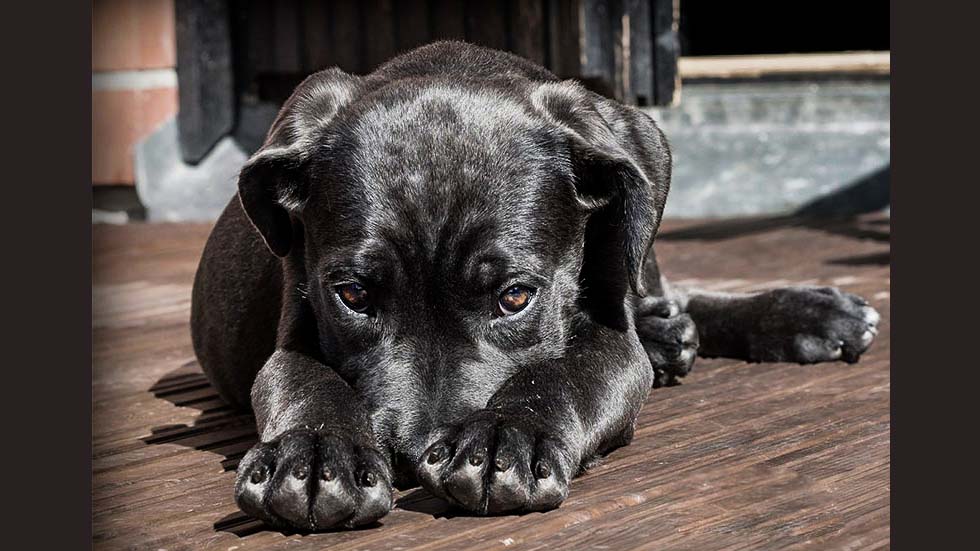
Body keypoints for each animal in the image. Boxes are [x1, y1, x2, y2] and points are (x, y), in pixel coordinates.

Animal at [191, 41, 880, 532]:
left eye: (516, 297)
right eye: (353, 296)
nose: (413, 457)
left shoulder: (611, 340)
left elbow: (563, 373)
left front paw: (506, 436)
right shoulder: (296, 326)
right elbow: (305, 380)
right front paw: (313, 454)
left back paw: (806, 315)